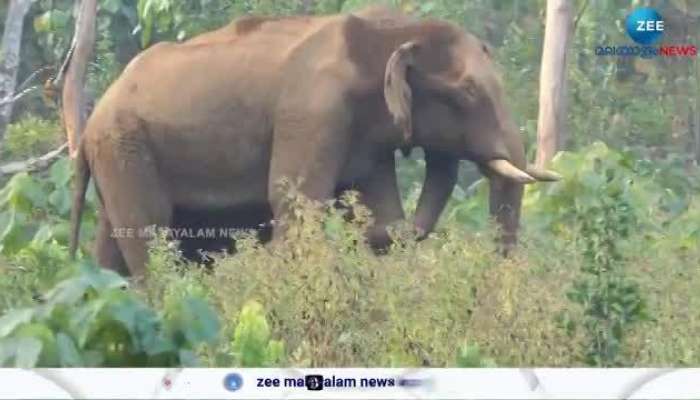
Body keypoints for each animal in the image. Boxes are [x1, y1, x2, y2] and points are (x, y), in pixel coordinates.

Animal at [71, 6, 560, 280]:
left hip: (119, 156)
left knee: (110, 249)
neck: (389, 31)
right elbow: (295, 202)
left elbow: (381, 203)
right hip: (125, 147)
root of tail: (93, 117)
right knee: (149, 234)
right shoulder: (312, 114)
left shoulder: (366, 139)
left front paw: (378, 232)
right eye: (468, 94)